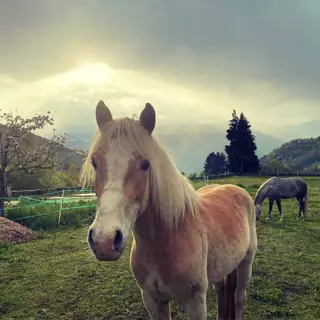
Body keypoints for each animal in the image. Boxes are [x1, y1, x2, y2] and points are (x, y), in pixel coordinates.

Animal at [80, 100, 258, 320]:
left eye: (145, 164)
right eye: (95, 162)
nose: (104, 240)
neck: (168, 239)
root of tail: (236, 189)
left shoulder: (195, 302)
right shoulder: (153, 300)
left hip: (246, 264)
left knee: (239, 297)